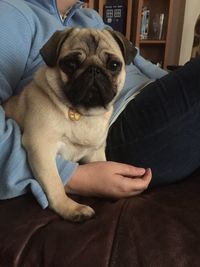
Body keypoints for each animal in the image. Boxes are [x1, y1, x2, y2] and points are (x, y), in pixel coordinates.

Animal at [3, 28, 137, 223]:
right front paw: (69, 207)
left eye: (113, 65)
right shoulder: (41, 148)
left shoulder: (94, 154)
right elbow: (55, 183)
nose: (94, 70)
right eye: (71, 64)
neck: (82, 113)